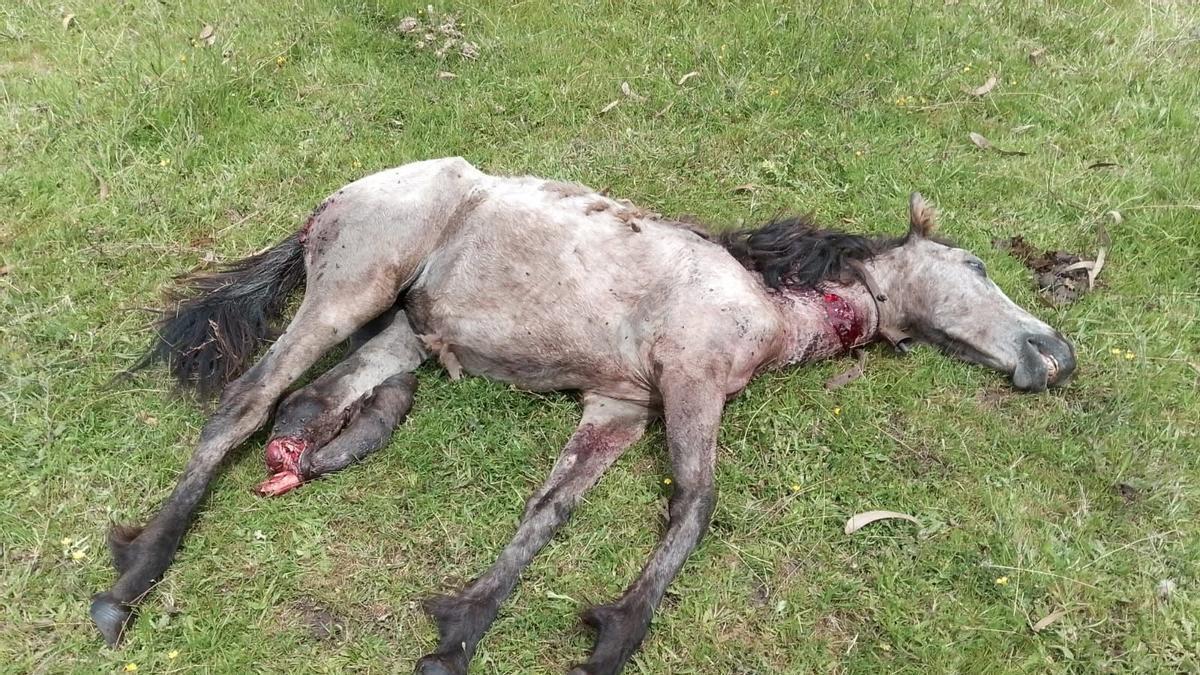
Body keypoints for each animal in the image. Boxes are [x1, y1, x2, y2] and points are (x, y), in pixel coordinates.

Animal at [91, 157, 1076, 674]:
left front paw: (460, 629)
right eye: (977, 265)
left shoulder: (620, 407)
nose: (1057, 353)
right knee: (246, 402)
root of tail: (328, 205)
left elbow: (550, 509)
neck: (768, 302)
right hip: (350, 289)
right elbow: (697, 504)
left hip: (400, 330)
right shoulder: (689, 381)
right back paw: (131, 579)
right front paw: (618, 635)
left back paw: (307, 457)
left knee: (311, 402)